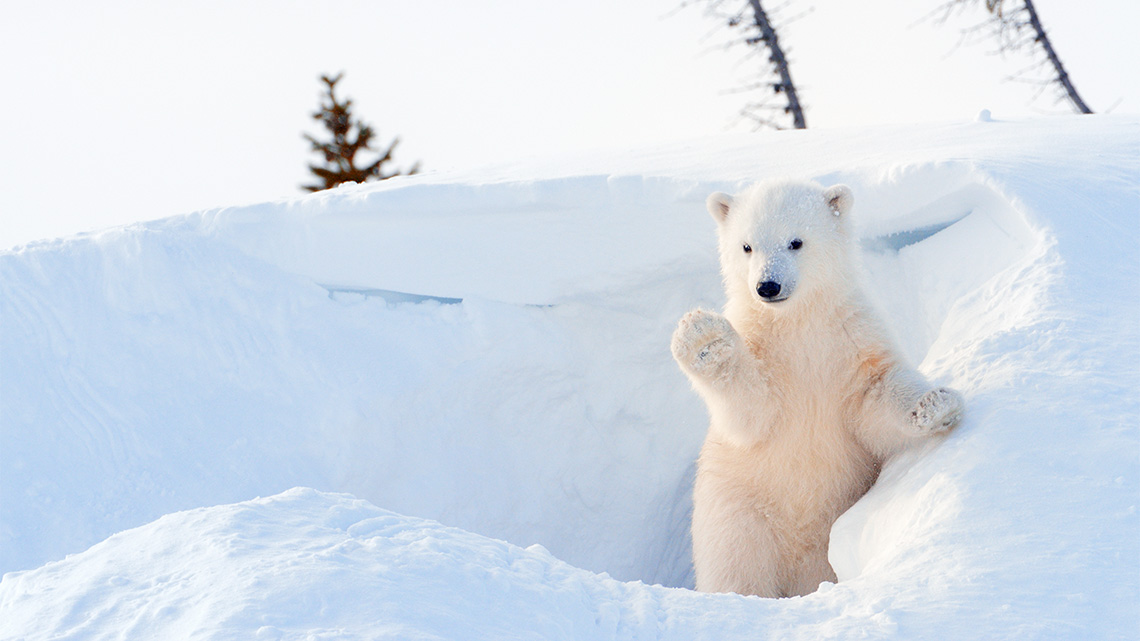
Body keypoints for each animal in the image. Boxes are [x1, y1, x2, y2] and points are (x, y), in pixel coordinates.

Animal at [671, 178, 963, 598]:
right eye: (747, 246)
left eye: (796, 241)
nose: (767, 285)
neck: (797, 323)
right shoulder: (763, 350)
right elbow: (752, 412)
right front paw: (703, 338)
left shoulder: (851, 339)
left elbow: (874, 396)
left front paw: (935, 404)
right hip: (738, 514)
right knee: (737, 569)